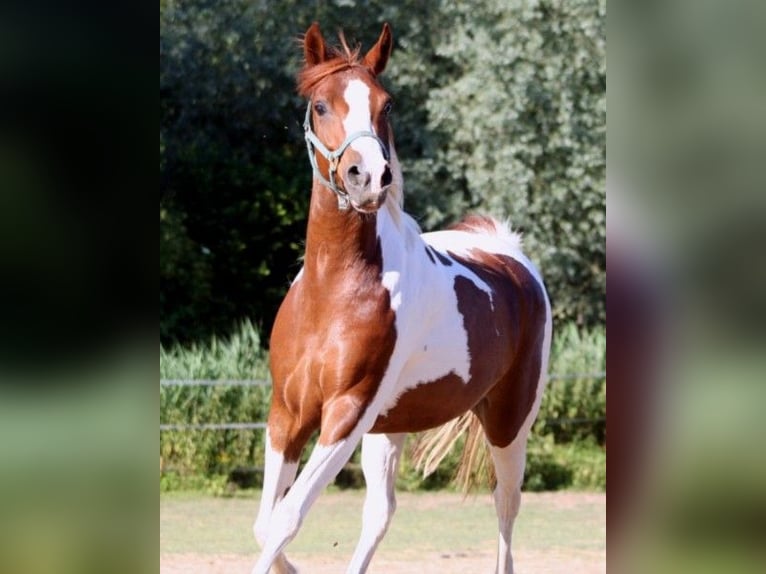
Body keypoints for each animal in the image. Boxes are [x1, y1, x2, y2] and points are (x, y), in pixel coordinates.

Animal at [252, 22, 552, 574]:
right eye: (320, 105)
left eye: (385, 104)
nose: (368, 177)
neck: (335, 290)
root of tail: (508, 250)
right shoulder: (287, 412)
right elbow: (267, 524)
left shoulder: (346, 415)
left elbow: (286, 519)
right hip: (390, 427)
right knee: (380, 513)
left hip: (509, 421)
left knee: (505, 505)